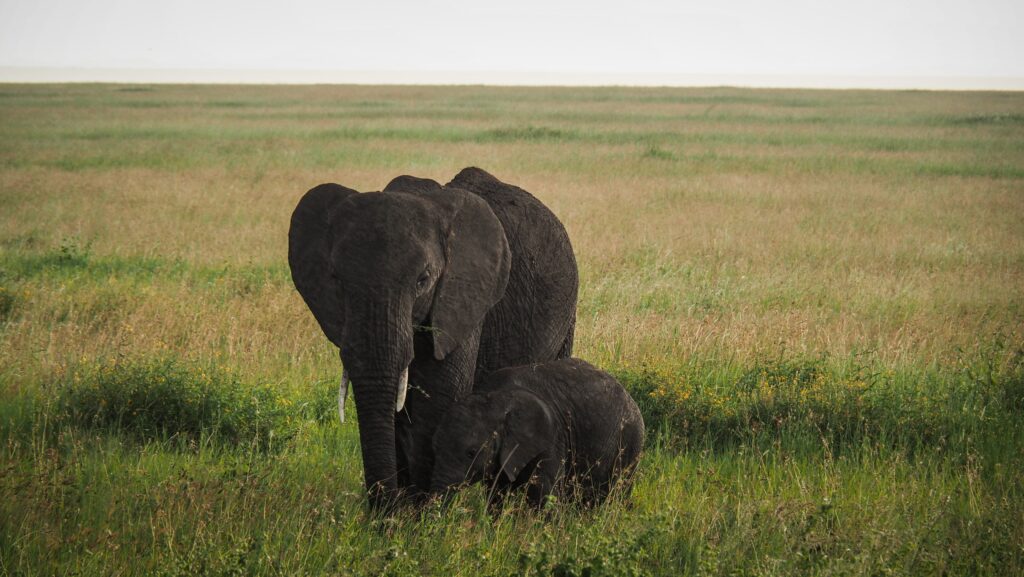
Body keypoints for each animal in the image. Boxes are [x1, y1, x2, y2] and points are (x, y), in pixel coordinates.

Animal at [286, 167, 577, 510]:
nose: (382, 513)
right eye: (336, 280)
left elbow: (439, 399)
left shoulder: (464, 297)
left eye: (423, 280)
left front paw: (423, 517)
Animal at [430, 358, 638, 508]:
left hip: (630, 441)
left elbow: (542, 495)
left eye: (471, 453)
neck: (496, 398)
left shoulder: (551, 437)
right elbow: (496, 494)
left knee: (616, 492)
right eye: (435, 448)